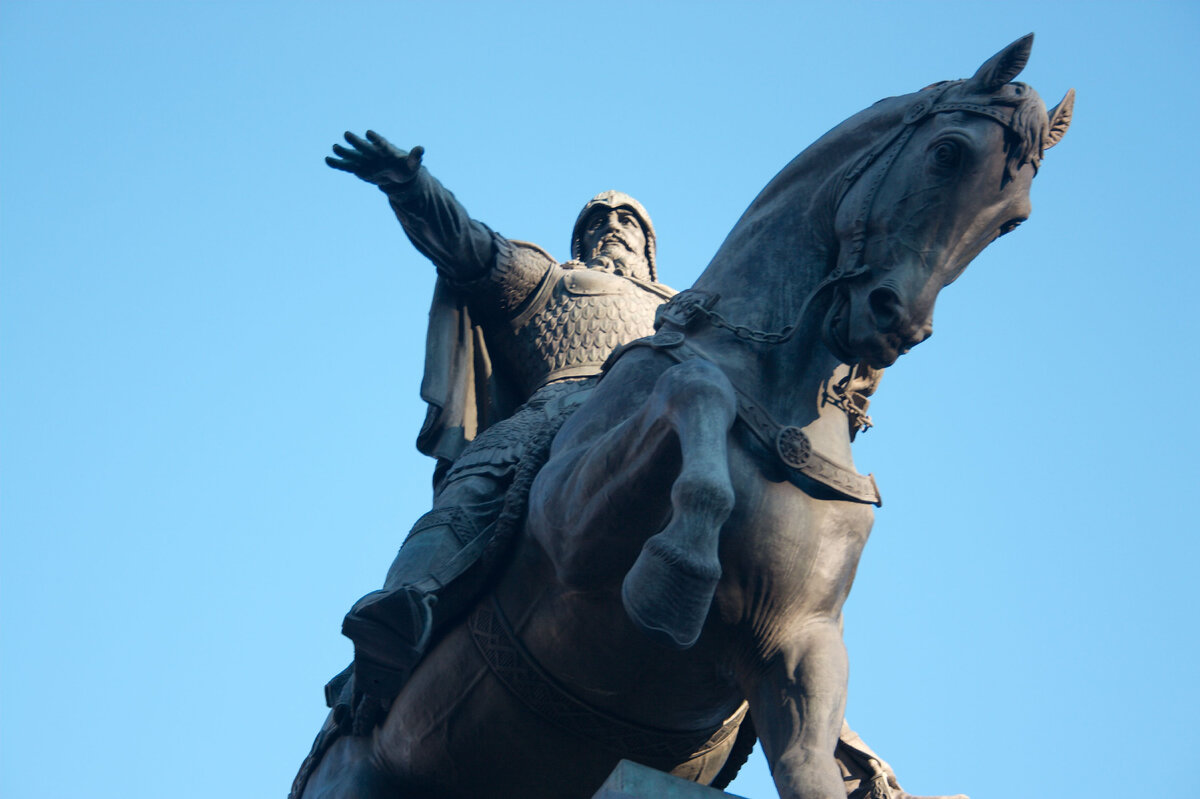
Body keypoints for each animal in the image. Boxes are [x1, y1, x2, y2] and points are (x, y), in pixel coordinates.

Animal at [297, 35, 1070, 796]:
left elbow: (811, 764)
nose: (892, 322)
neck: (781, 407)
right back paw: (388, 629)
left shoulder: (801, 649)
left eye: (1012, 221)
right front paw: (677, 575)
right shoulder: (572, 531)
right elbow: (692, 384)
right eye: (947, 153)